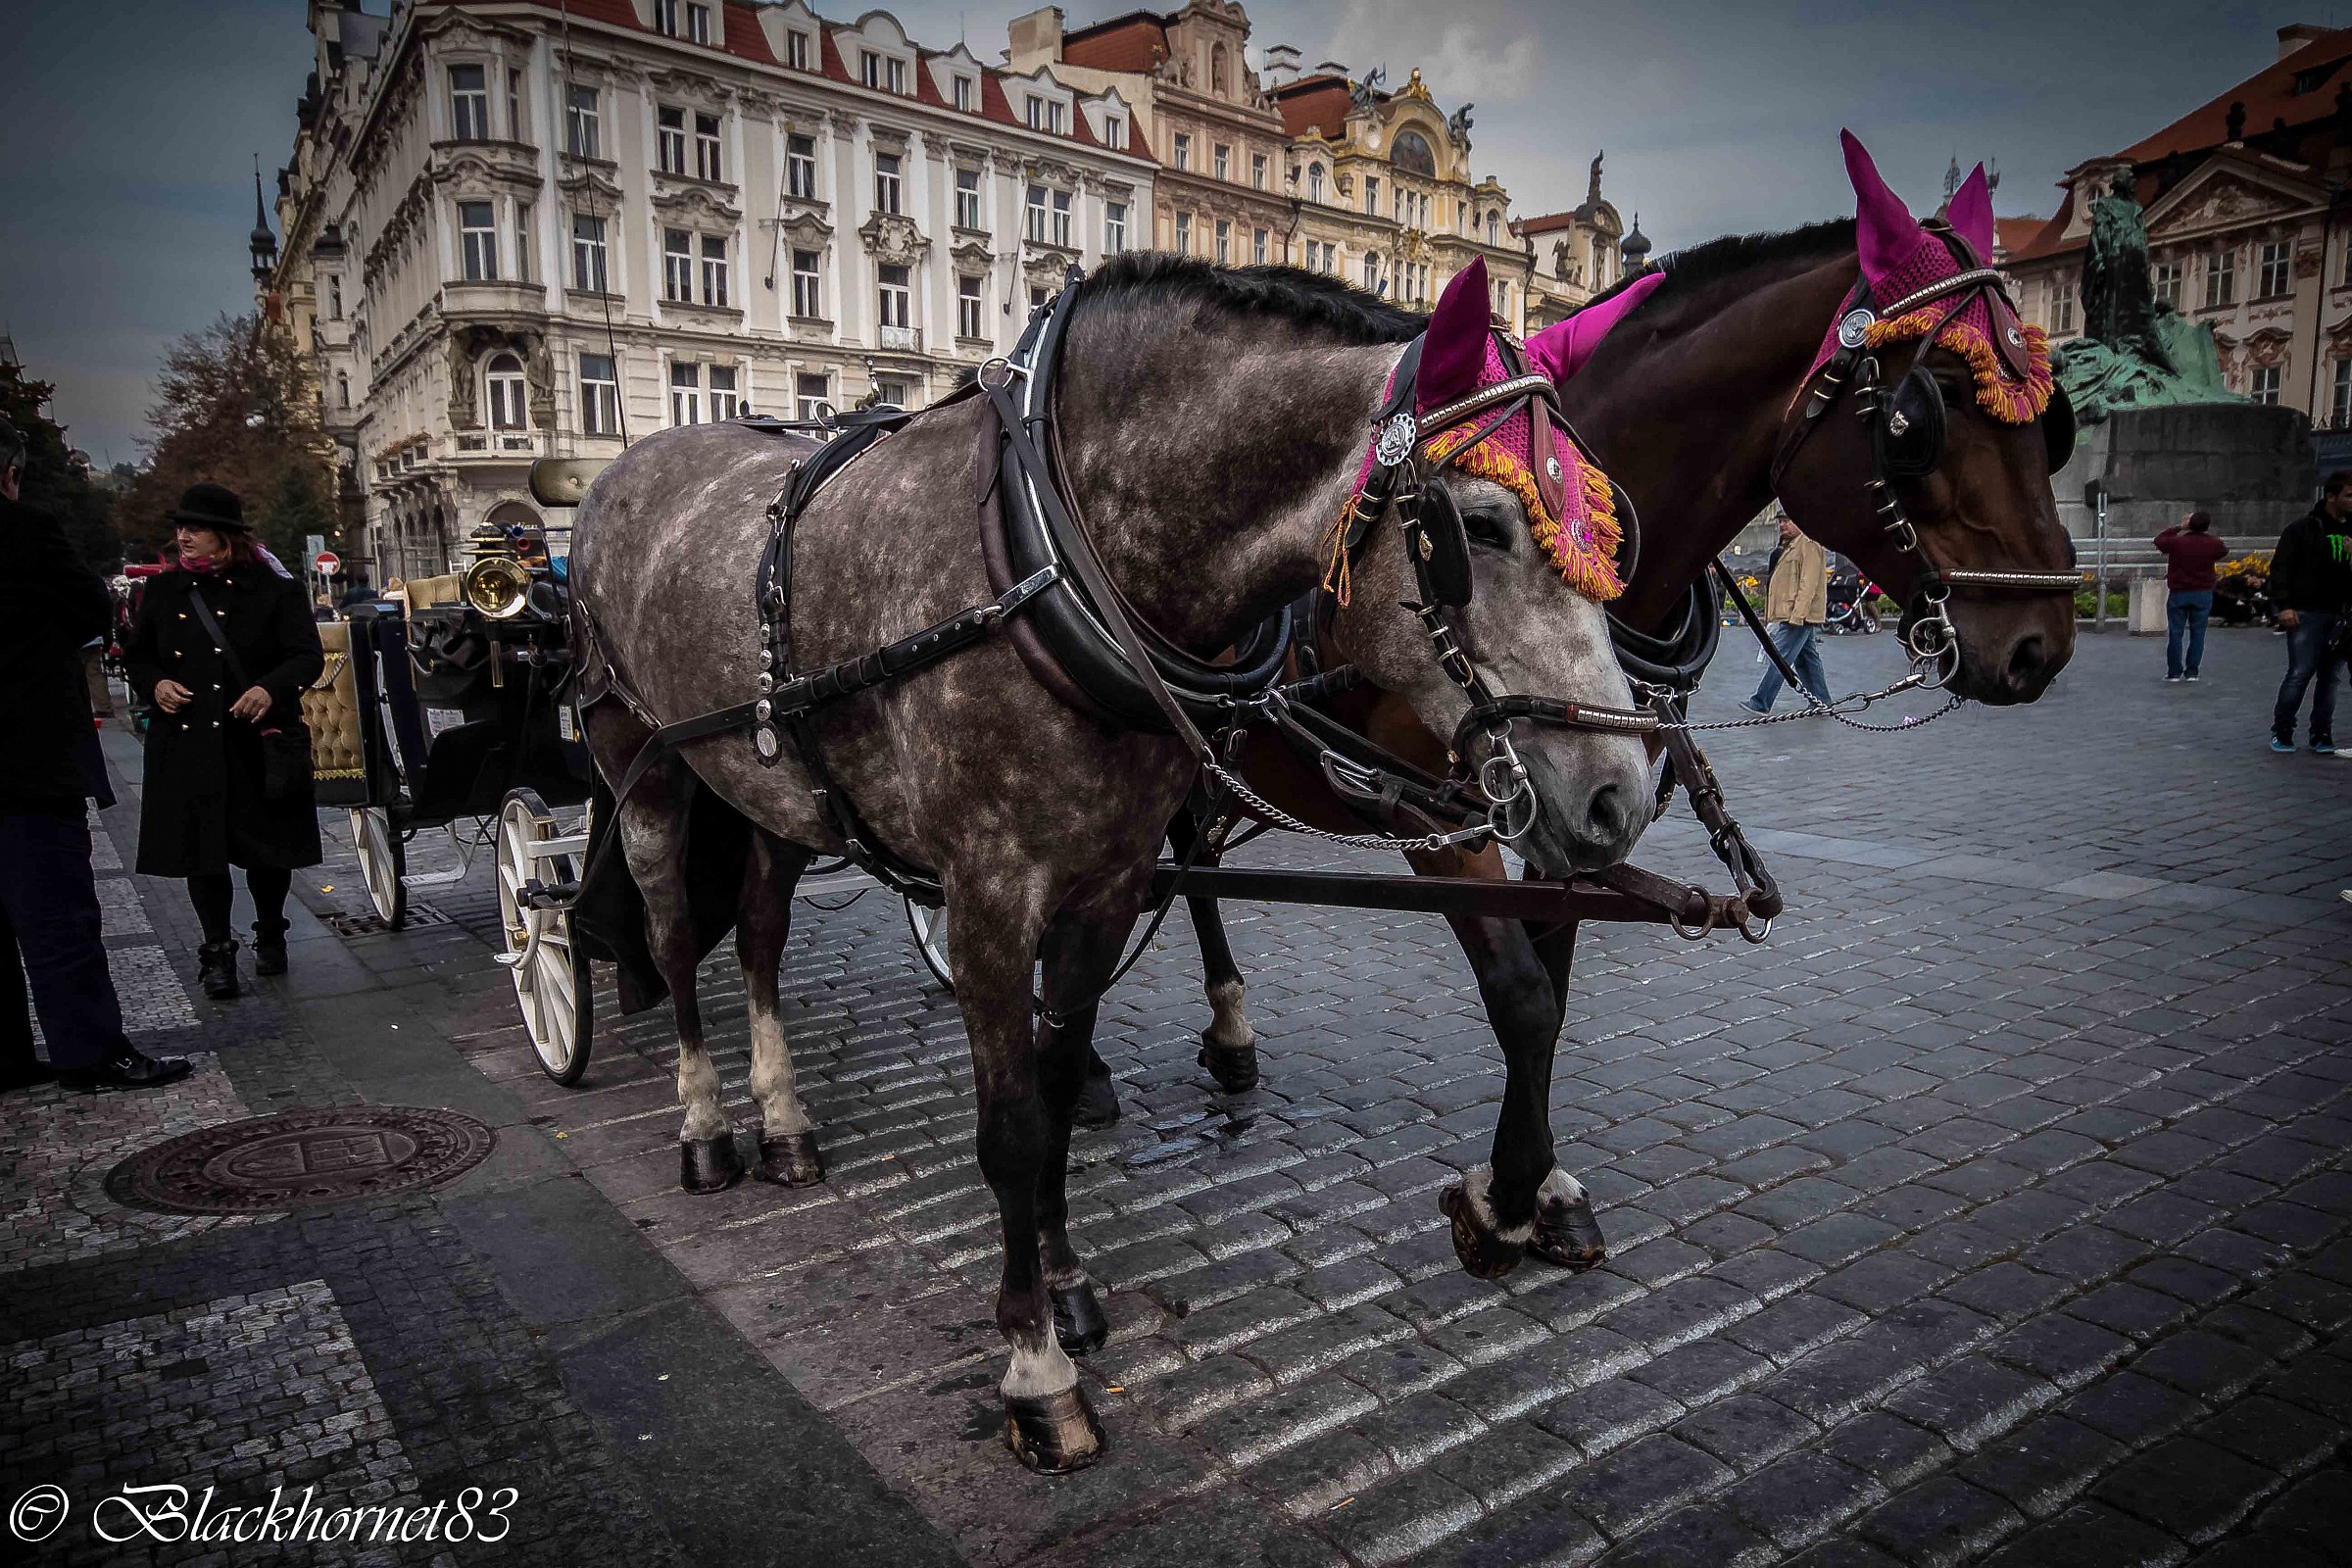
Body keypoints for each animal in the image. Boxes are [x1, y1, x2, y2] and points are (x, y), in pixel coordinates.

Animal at [569, 254, 1658, 1470]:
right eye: (1481, 528)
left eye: (1612, 522)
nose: (1618, 792)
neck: (1048, 552)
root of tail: (626, 463)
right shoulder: (988, 901)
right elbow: (1009, 1128)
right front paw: (1036, 1368)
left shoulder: (1106, 883)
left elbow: (1053, 1085)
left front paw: (1067, 1282)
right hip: (641, 764)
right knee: (672, 937)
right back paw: (709, 1127)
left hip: (766, 785)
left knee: (758, 931)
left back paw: (787, 1121)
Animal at [1081, 138, 2084, 1284]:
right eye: (1929, 407)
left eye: (2053, 421)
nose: (2042, 640)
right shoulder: (1437, 813)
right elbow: (1520, 992)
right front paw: (1505, 1198)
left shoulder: (1575, 808)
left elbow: (1554, 984)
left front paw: (1542, 1184)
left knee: (1183, 859)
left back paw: (1223, 1034)